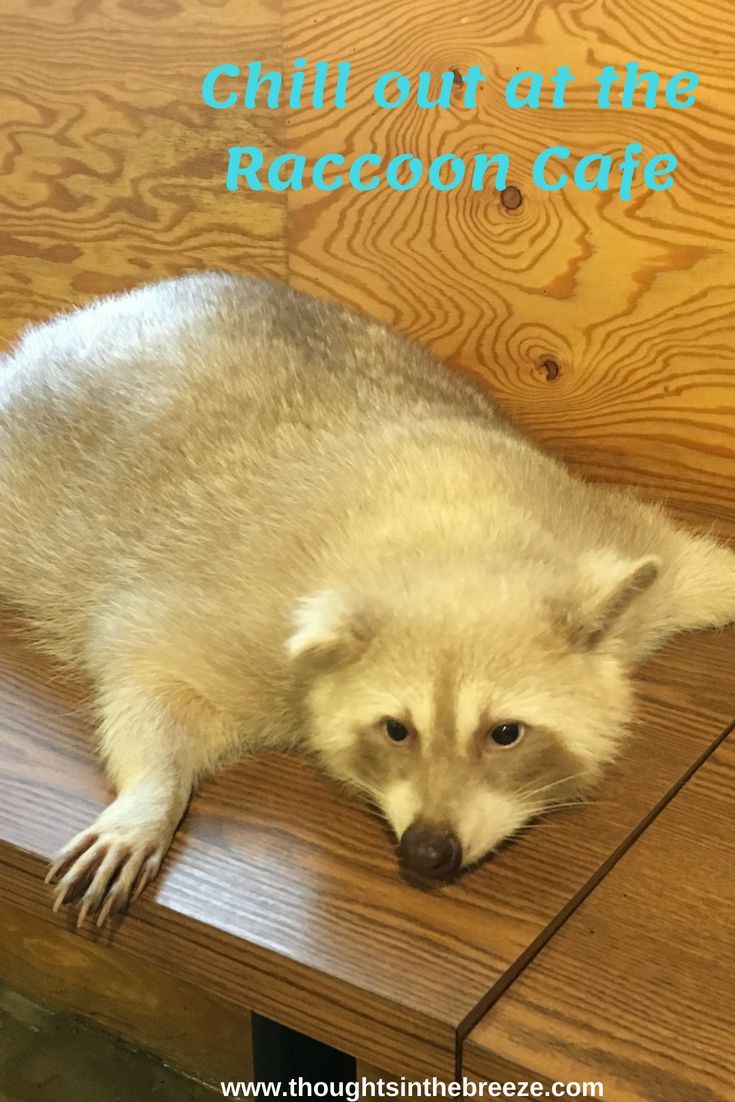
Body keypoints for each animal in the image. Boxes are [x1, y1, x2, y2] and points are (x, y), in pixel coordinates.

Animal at [1, 272, 732, 927]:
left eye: (505, 733)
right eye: (395, 730)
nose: (428, 852)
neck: (450, 541)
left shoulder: (598, 529)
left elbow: (691, 564)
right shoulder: (238, 622)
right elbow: (147, 681)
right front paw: (150, 796)